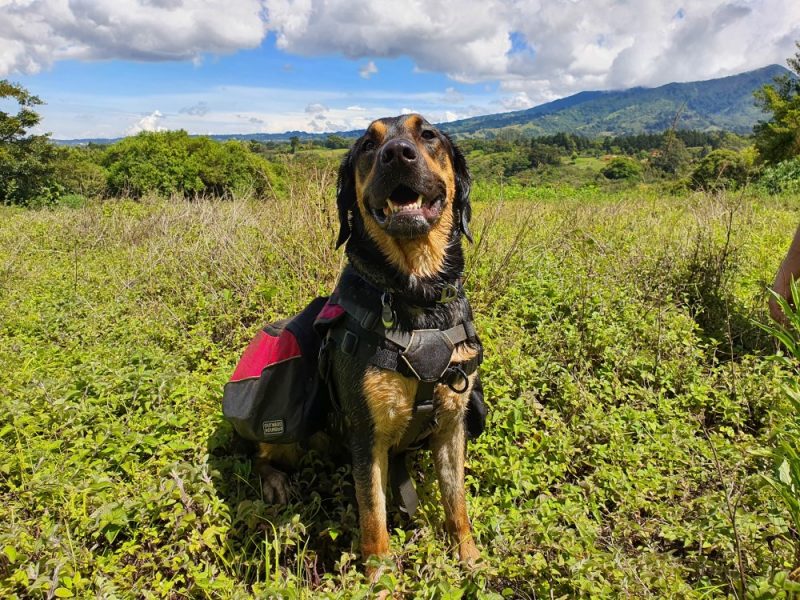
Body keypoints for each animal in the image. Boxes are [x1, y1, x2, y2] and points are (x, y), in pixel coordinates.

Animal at [256, 113, 482, 572]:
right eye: (367, 146)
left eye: (427, 134)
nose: (396, 154)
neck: (415, 293)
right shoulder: (367, 432)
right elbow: (374, 516)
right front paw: (379, 575)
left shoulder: (452, 423)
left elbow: (457, 502)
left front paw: (467, 556)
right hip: (287, 434)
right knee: (260, 453)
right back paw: (274, 483)